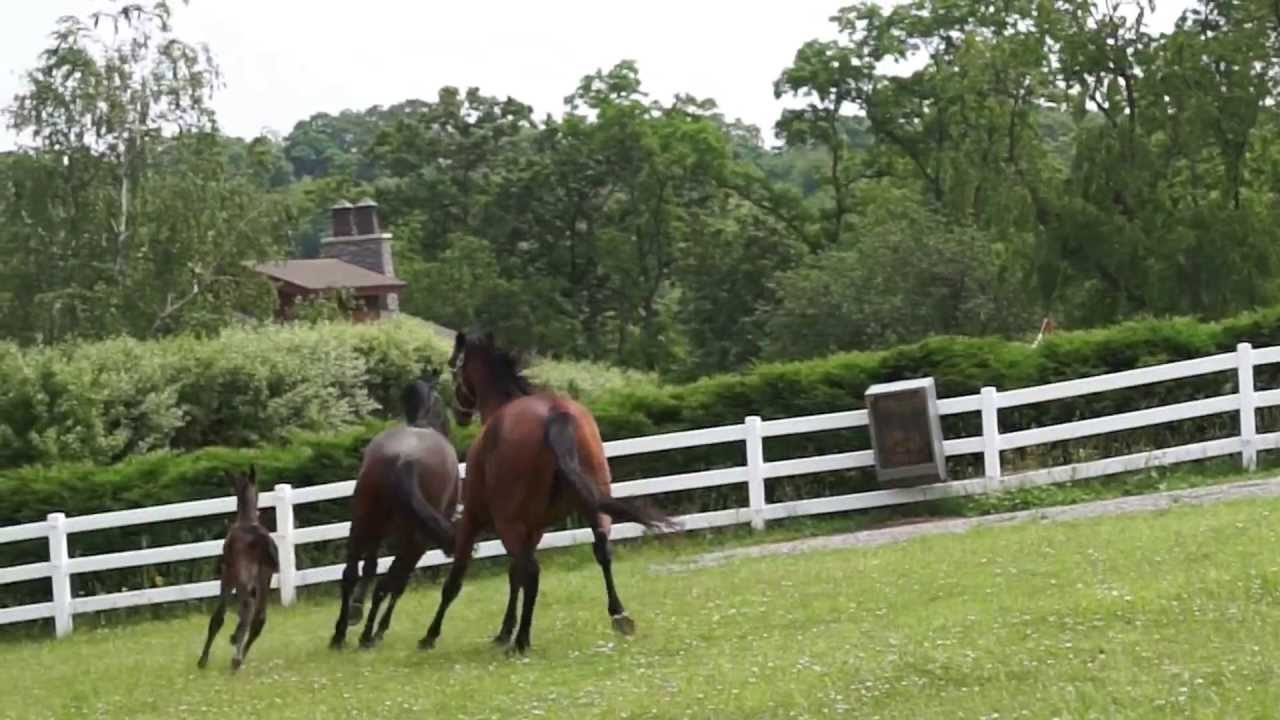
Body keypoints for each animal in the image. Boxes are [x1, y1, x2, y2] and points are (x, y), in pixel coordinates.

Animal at [198, 465, 280, 671]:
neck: (246, 519)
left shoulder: (228, 575)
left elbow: (218, 617)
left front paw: (202, 660)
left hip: (243, 575)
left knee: (247, 606)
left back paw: (235, 654)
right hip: (264, 576)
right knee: (259, 617)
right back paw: (239, 656)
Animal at [329, 365, 460, 649]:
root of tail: (404, 459)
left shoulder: (378, 530)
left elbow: (369, 568)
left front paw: (356, 610)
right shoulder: (418, 542)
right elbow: (397, 582)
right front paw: (378, 628)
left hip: (362, 521)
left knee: (350, 574)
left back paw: (339, 635)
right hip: (413, 538)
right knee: (389, 581)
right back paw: (368, 636)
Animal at [419, 330, 675, 655]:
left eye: (454, 367)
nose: (460, 414)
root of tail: (556, 413)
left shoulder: (474, 520)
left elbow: (457, 578)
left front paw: (430, 635)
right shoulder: (534, 529)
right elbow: (514, 575)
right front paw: (504, 631)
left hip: (508, 524)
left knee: (533, 573)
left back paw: (522, 640)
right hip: (591, 507)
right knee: (600, 551)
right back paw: (619, 616)